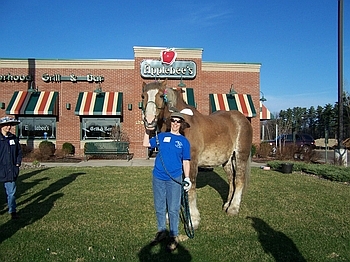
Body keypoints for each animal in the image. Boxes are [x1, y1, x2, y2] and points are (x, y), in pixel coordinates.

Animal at [141, 80, 253, 229]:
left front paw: (193, 220)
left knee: (239, 180)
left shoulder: (192, 162)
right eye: (143, 96)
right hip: (228, 161)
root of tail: (243, 119)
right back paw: (227, 205)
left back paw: (233, 208)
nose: (149, 120)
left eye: (160, 95)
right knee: (231, 181)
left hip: (241, 155)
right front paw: (170, 216)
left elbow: (191, 188)